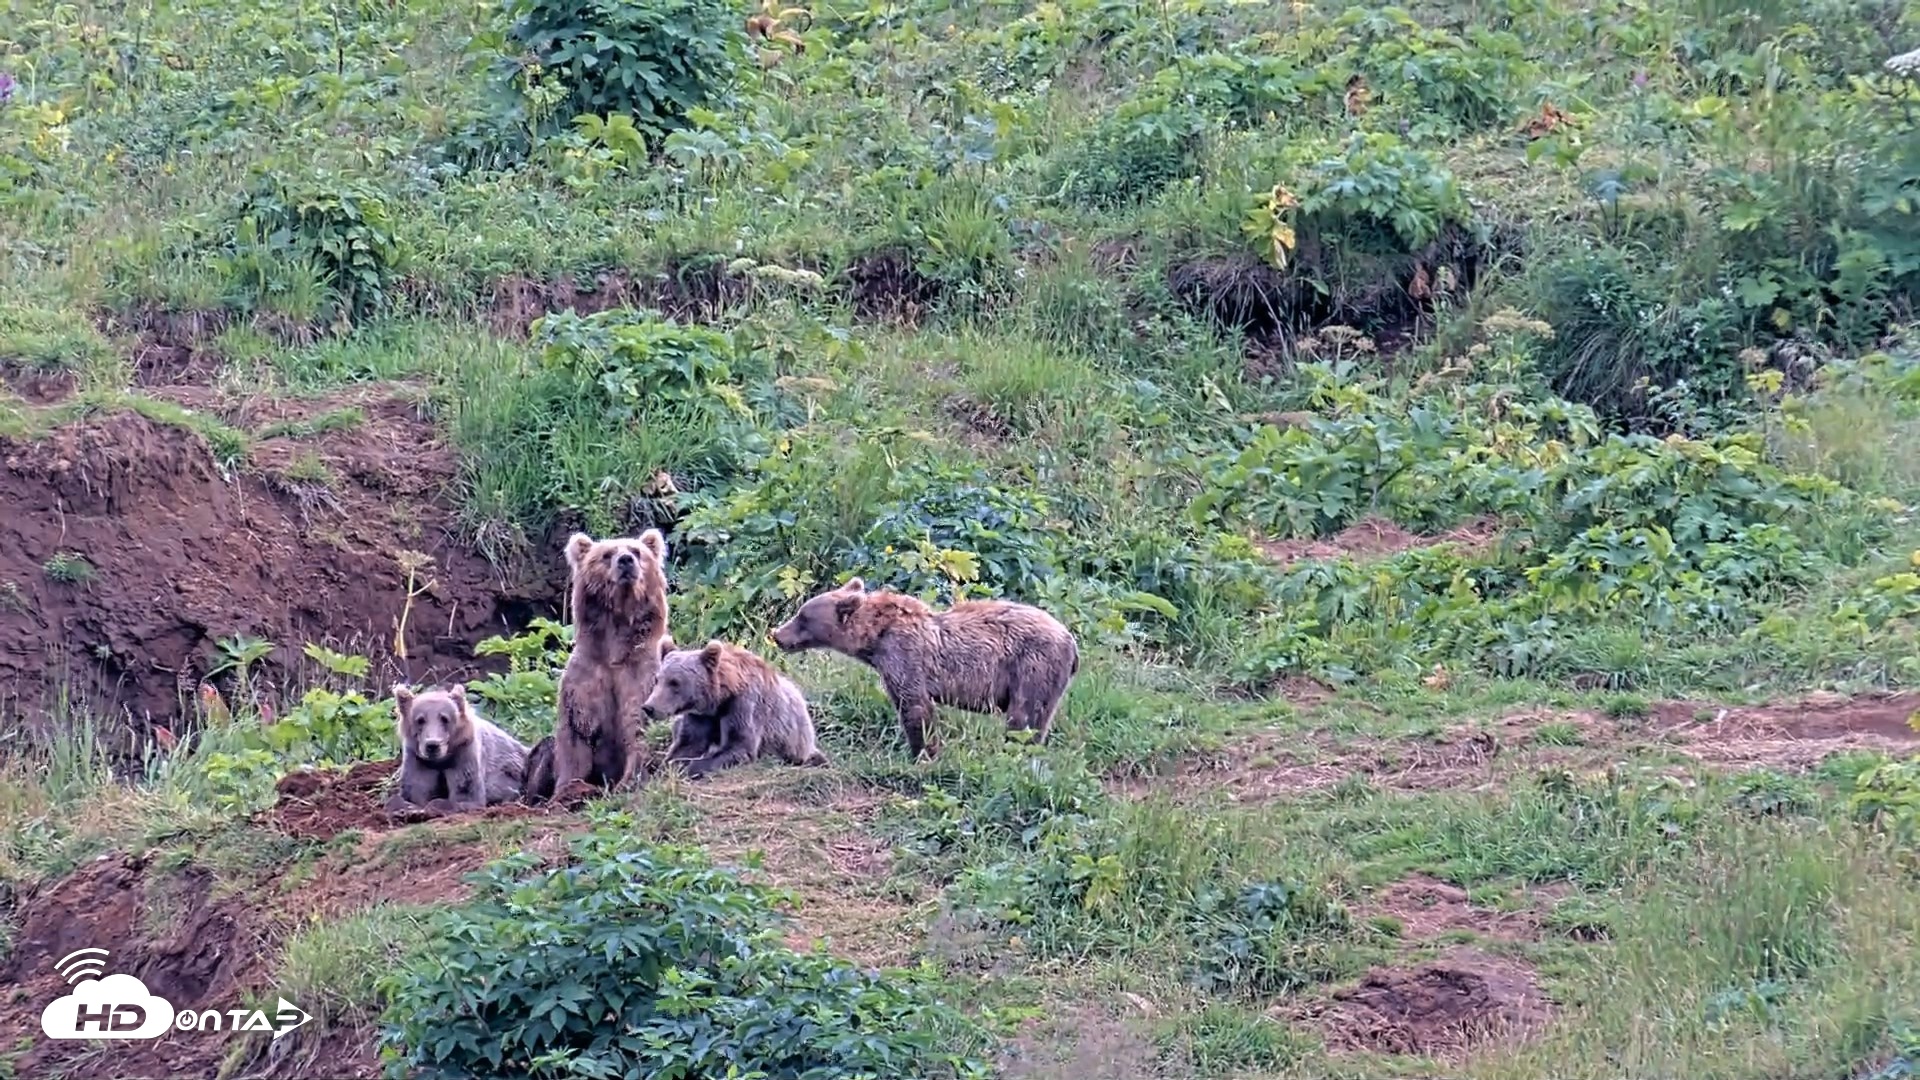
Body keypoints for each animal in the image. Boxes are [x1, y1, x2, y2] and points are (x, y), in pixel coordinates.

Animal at [385, 683, 530, 815]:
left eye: (444, 718)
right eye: (420, 720)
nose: (432, 745)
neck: (441, 760)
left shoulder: (464, 753)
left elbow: (466, 793)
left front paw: (434, 806)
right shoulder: (418, 759)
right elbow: (415, 790)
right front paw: (407, 807)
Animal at [544, 529, 673, 799]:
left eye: (637, 551)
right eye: (606, 554)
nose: (625, 560)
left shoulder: (642, 675)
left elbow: (637, 725)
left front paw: (629, 782)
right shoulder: (587, 677)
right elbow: (576, 735)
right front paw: (569, 790)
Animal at [640, 639, 829, 779]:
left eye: (675, 683)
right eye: (657, 679)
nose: (649, 707)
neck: (720, 697)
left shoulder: (743, 705)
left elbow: (739, 747)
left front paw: (690, 768)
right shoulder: (701, 715)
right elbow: (689, 744)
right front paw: (666, 767)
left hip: (797, 744)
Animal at [769, 577, 1079, 759]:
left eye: (802, 617)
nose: (777, 635)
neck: (875, 638)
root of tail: (1072, 641)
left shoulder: (905, 658)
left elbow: (915, 707)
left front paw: (922, 753)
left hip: (1033, 664)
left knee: (1024, 716)